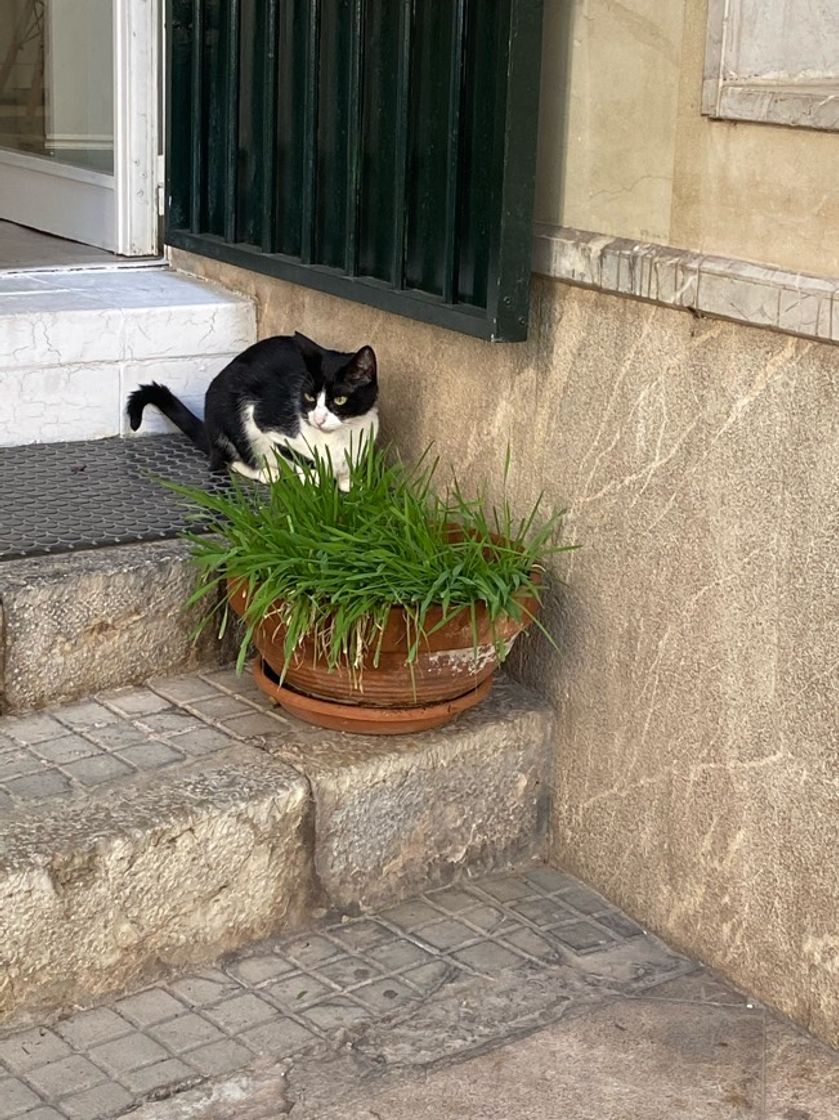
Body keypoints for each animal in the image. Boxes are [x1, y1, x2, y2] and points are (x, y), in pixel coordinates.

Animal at [126, 331, 378, 490]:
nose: (318, 419)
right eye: (309, 397)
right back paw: (266, 473)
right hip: (224, 413)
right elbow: (297, 457)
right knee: (226, 459)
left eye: (340, 399)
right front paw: (315, 480)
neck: (338, 438)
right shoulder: (264, 419)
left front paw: (349, 482)